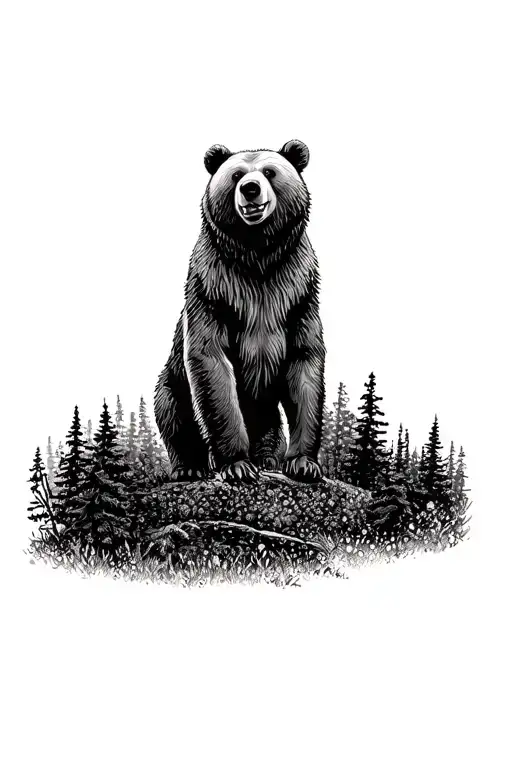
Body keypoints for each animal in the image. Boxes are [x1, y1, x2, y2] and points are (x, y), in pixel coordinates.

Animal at [154, 139, 325, 483]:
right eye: (235, 175)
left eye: (270, 172)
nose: (250, 188)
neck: (257, 256)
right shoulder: (212, 288)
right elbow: (211, 361)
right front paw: (236, 465)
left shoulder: (299, 293)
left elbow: (305, 361)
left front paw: (303, 463)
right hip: (172, 381)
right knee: (173, 414)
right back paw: (189, 466)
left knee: (270, 423)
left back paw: (268, 458)